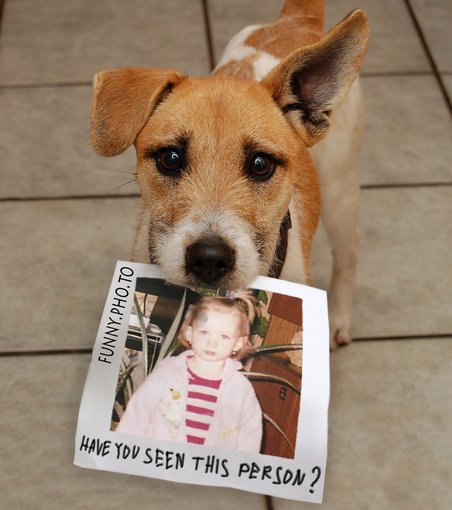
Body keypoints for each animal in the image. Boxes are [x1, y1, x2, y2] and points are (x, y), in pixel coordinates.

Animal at [89, 0, 368, 348]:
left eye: (260, 164)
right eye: (170, 158)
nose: (209, 258)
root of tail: (297, 19)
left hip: (340, 192)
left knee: (350, 251)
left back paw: (338, 318)